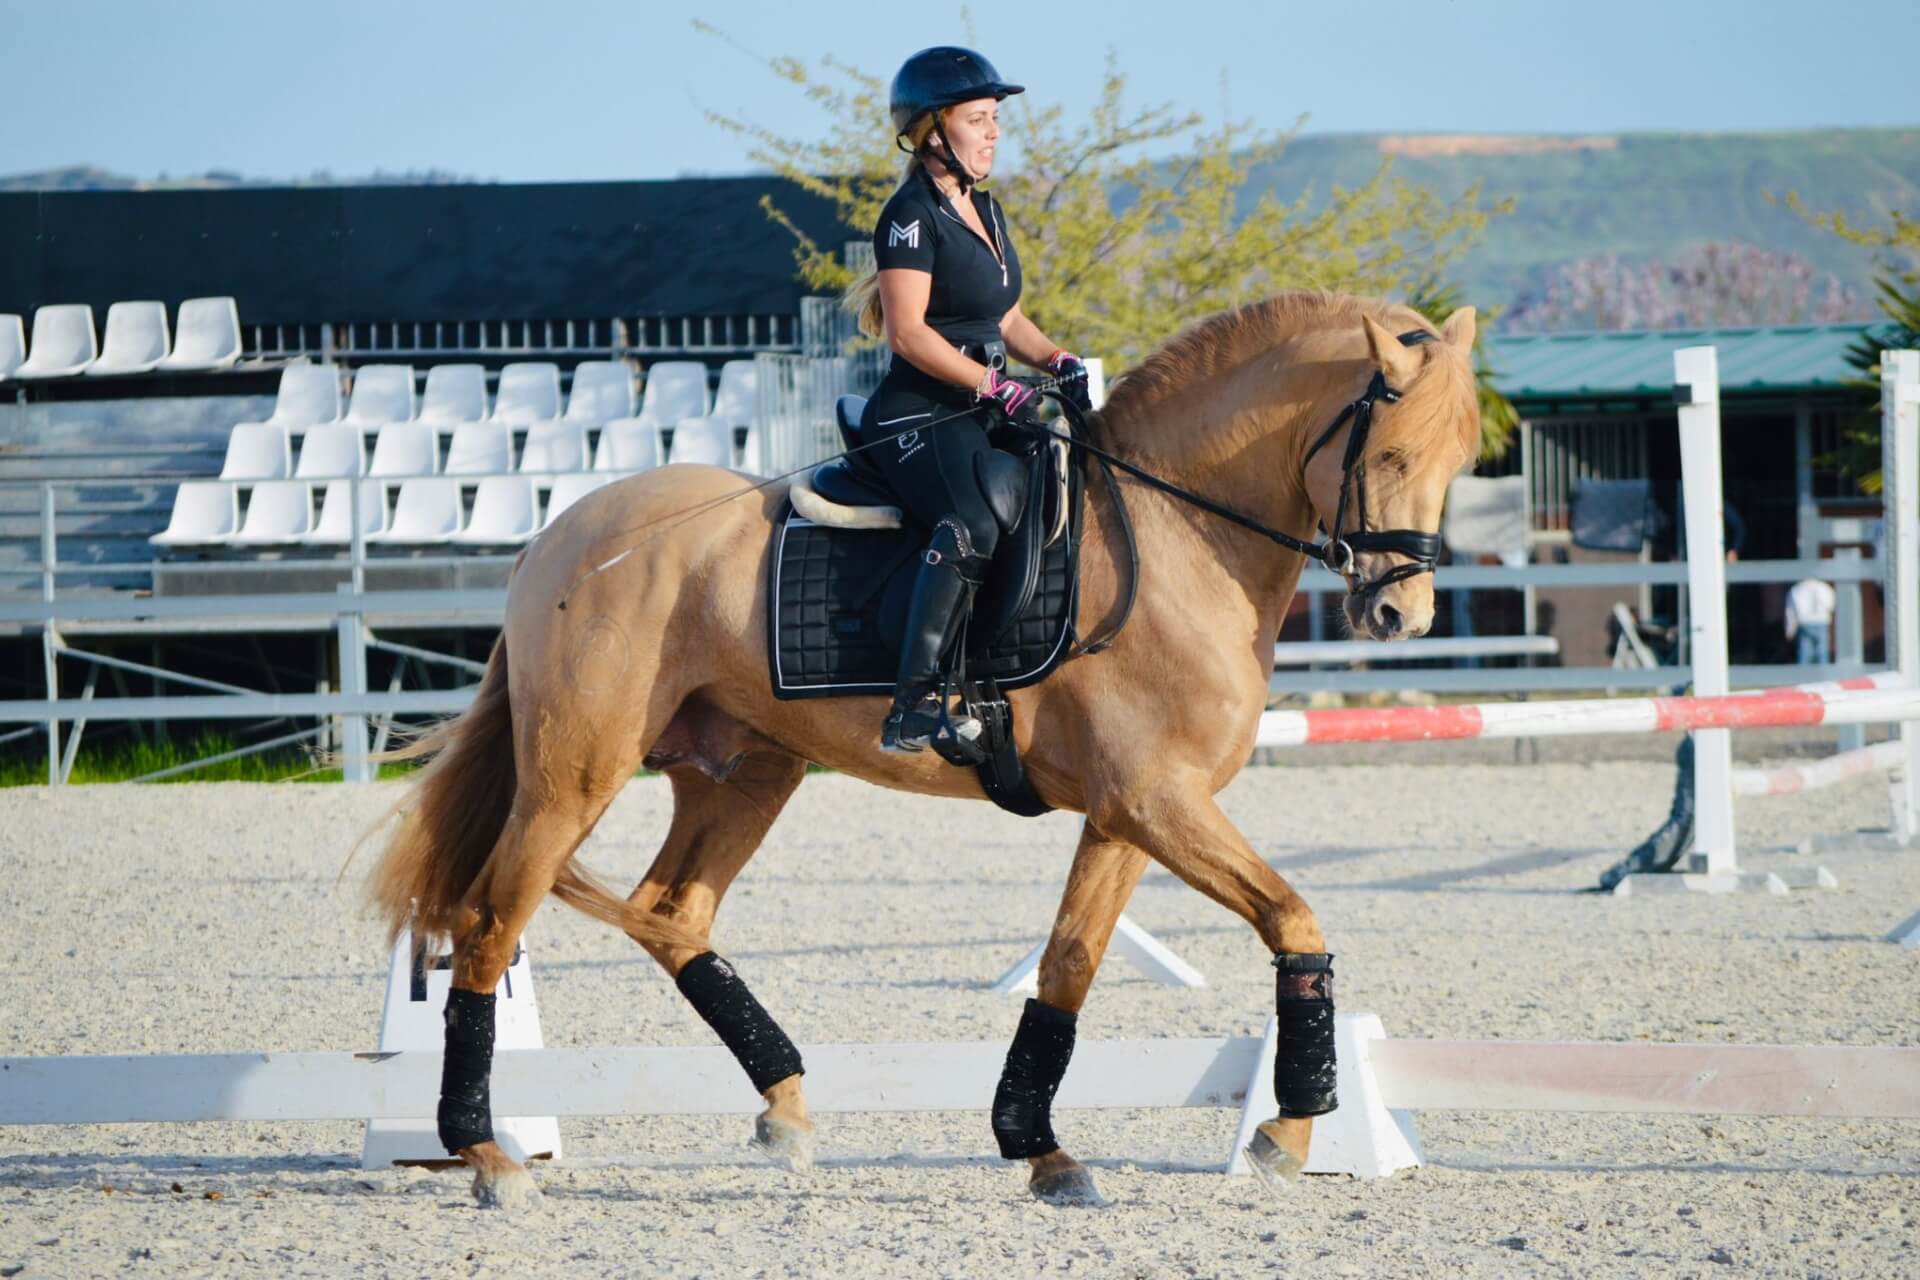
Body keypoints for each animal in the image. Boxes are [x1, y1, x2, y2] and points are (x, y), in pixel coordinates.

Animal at [366, 293, 1474, 1212]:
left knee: (669, 911)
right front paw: (1289, 1132)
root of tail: (556, 538)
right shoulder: (1156, 799)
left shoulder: (1135, 809)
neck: (1174, 533)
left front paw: (1041, 1148)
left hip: (745, 772)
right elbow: (1292, 916)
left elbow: (1071, 961)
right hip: (576, 775)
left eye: (1457, 462)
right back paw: (487, 1155)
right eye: (1389, 456)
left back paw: (786, 1107)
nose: (1402, 614)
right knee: (489, 923)